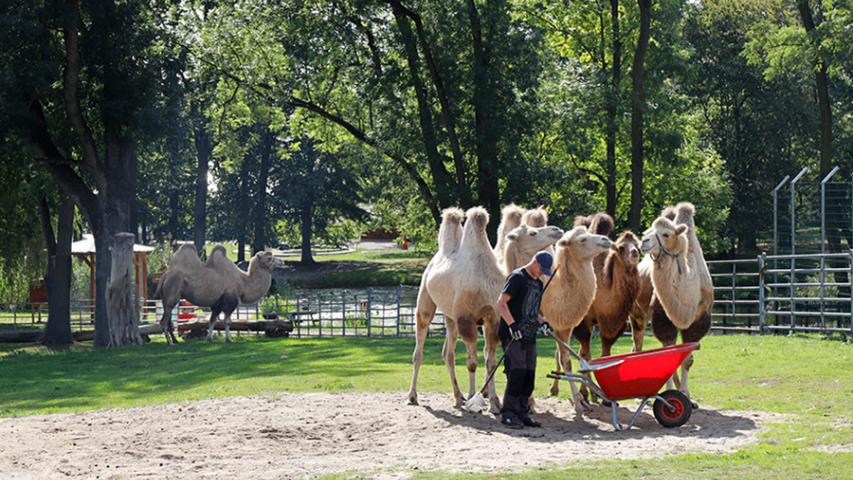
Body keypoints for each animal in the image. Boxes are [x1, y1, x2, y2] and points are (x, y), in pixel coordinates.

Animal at [410, 206, 564, 412]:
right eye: (532, 232)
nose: (557, 230)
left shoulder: (492, 319)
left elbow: (490, 362)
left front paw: (494, 403)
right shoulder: (466, 319)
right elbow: (472, 363)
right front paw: (474, 398)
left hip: (450, 316)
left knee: (448, 354)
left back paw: (458, 397)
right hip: (426, 300)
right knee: (419, 346)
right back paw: (413, 396)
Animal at [544, 225, 608, 416]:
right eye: (582, 239)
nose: (606, 240)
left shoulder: (563, 327)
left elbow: (566, 359)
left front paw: (580, 401)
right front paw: (579, 404)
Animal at [632, 202, 712, 402]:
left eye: (666, 234)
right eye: (648, 231)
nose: (643, 242)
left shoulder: (699, 321)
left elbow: (686, 360)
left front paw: (686, 394)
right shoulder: (663, 318)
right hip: (637, 313)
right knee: (638, 344)